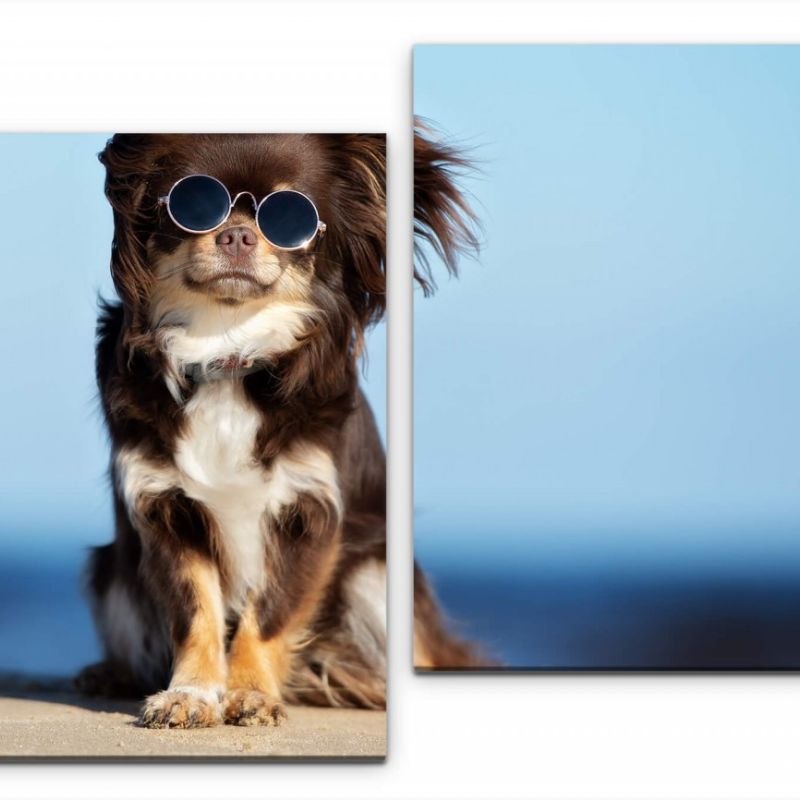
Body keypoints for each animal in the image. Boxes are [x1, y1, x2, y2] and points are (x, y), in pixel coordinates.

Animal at [76, 133, 482, 732]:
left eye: (291, 217)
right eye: (192, 204)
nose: (238, 233)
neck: (227, 354)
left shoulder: (309, 515)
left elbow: (268, 613)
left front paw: (249, 691)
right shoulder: (166, 509)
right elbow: (195, 612)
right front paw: (191, 693)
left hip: (376, 575)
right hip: (109, 571)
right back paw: (109, 674)